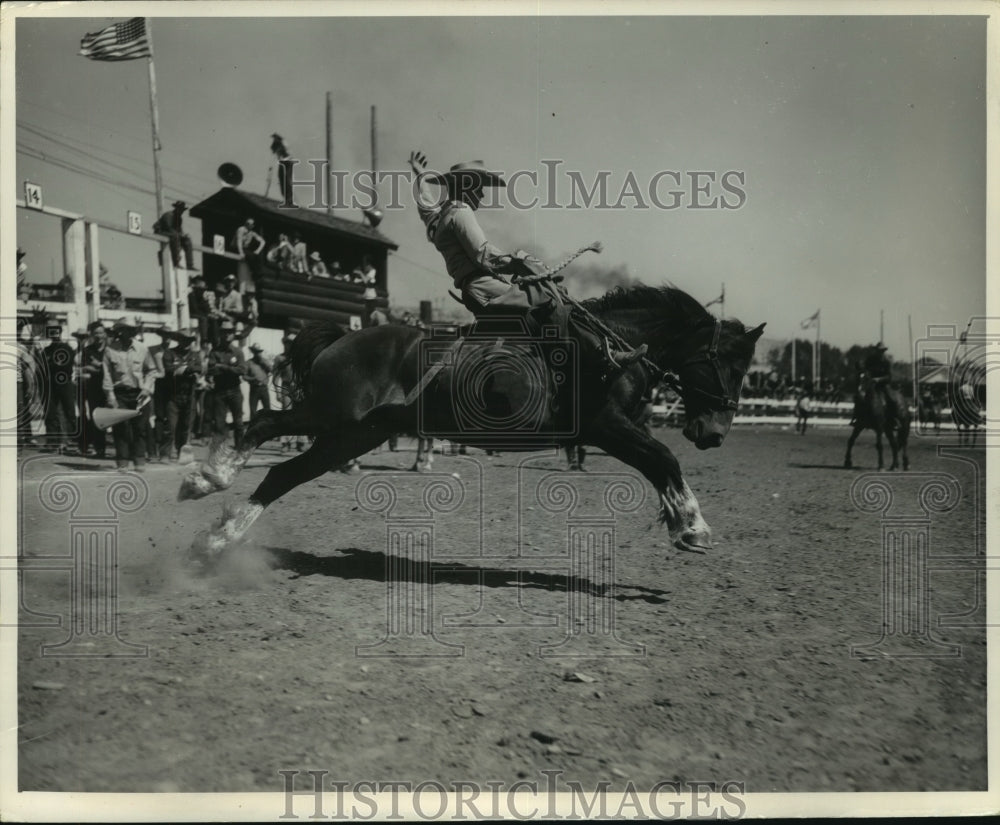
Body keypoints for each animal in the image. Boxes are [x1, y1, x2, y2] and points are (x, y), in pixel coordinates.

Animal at [180, 280, 764, 556]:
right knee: (266, 433)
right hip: (335, 417)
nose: (714, 433)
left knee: (283, 464)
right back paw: (210, 491)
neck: (607, 346)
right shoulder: (606, 426)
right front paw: (692, 526)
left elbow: (660, 461)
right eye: (730, 362)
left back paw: (216, 520)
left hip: (354, 433)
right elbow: (663, 457)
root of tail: (344, 336)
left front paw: (683, 521)